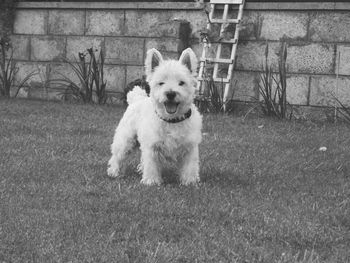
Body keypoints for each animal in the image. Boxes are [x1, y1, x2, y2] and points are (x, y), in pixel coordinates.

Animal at [108, 48, 204, 187]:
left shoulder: (190, 147)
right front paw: (151, 181)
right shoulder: (151, 146)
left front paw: (190, 182)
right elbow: (151, 165)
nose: (170, 94)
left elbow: (189, 167)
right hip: (125, 139)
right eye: (161, 83)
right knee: (117, 156)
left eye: (181, 83)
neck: (172, 120)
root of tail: (136, 98)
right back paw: (114, 172)